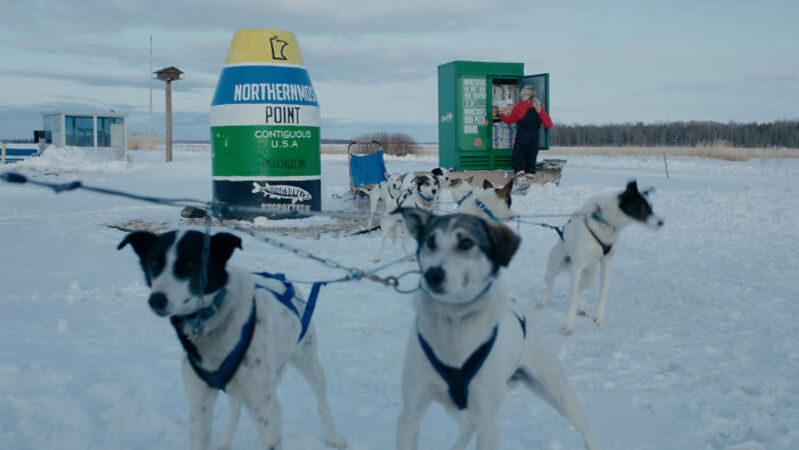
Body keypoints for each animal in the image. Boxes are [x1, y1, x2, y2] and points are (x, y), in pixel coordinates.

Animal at [396, 209, 596, 450]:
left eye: (466, 242)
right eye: (430, 242)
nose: (432, 274)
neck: (454, 323)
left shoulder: (488, 420)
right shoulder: (410, 414)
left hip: (558, 394)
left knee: (584, 425)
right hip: (455, 405)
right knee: (467, 426)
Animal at [540, 180, 664, 334]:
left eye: (651, 206)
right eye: (642, 206)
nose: (661, 222)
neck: (605, 221)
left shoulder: (606, 263)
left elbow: (602, 293)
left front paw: (598, 316)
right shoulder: (578, 266)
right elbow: (571, 297)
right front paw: (568, 324)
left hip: (589, 277)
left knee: (579, 289)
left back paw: (580, 308)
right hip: (553, 270)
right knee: (551, 287)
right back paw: (542, 302)